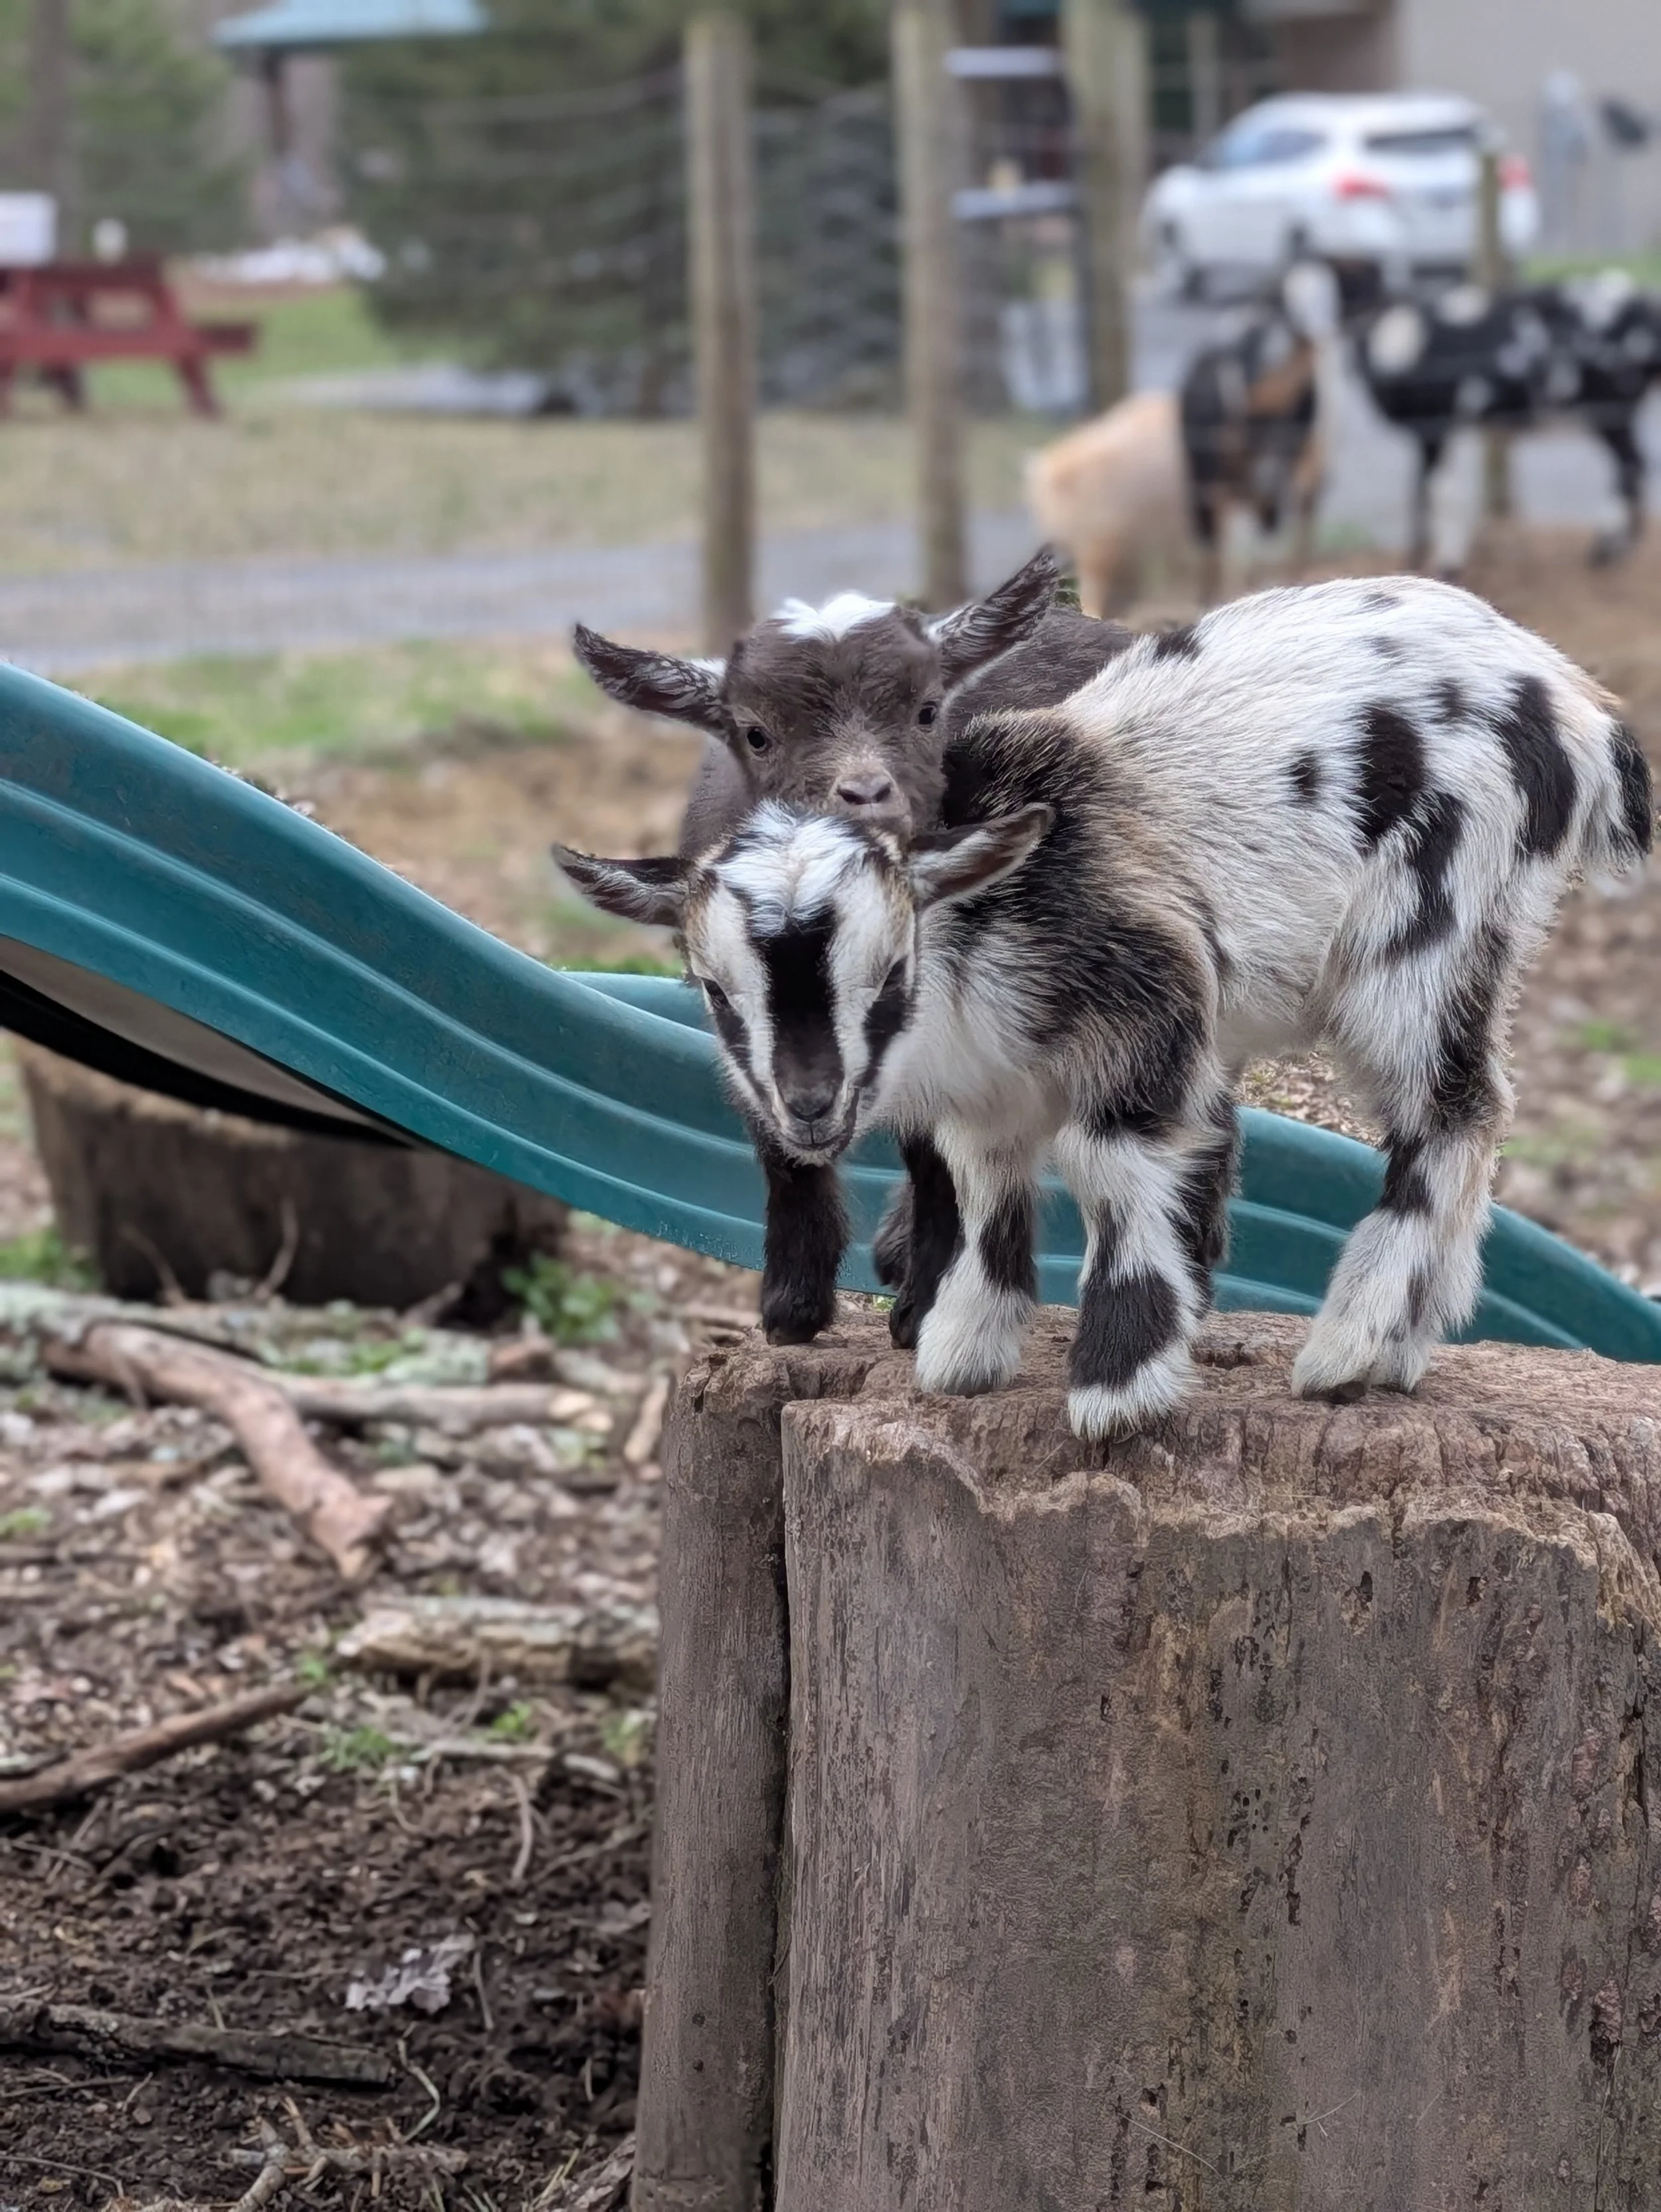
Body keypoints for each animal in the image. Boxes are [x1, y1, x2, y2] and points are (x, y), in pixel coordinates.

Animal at [557, 575, 1652, 1438]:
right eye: (713, 987)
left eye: (891, 970)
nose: (811, 1104)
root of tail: (1578, 703)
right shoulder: (989, 1088)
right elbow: (986, 1177)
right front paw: (963, 1354)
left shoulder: (1150, 1001)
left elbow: (1102, 1161)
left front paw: (1114, 1389)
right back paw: (1398, 1351)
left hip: (1434, 927)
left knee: (1454, 1111)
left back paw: (1348, 1349)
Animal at [1359, 274, 1661, 569]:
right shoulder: (1431, 429)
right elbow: (1423, 487)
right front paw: (1415, 561)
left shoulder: (1436, 425)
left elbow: (1440, 491)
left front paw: (1447, 562)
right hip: (1617, 411)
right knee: (1634, 461)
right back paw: (1626, 543)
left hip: (1608, 409)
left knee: (1629, 462)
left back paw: (1606, 547)